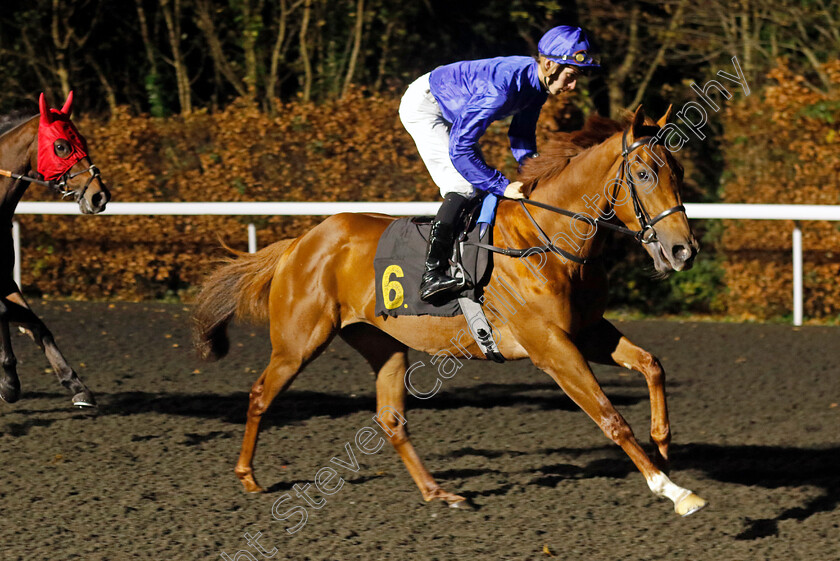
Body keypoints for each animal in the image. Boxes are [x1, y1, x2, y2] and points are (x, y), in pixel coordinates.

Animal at [0, 93, 110, 406]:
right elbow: (8, 314)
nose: (100, 196)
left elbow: (38, 326)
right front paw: (8, 378)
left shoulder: (5, 278)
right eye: (61, 146)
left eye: (82, 139)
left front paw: (76, 385)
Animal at [194, 105, 704, 516]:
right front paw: (672, 490)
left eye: (678, 170)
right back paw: (247, 476)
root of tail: (301, 241)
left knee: (391, 420)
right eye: (644, 174)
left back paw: (438, 492)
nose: (683, 250)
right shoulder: (550, 345)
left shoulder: (587, 330)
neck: (547, 240)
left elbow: (651, 365)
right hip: (299, 342)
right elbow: (609, 415)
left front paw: (663, 447)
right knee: (261, 395)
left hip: (383, 344)